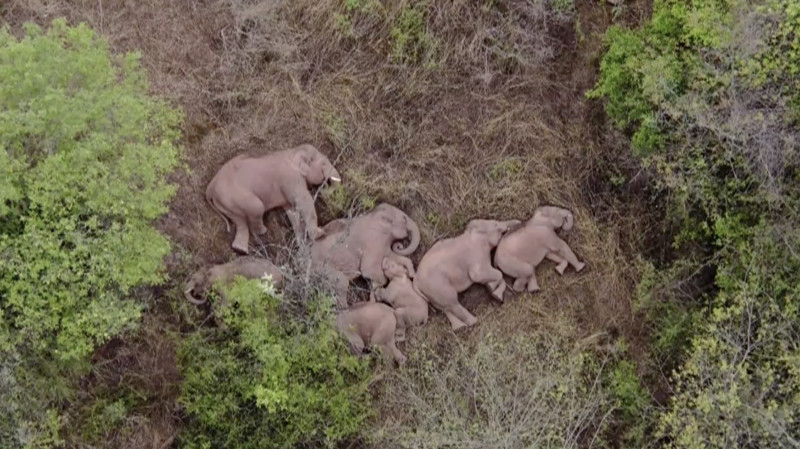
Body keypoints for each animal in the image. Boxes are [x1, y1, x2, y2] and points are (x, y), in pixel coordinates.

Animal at [206, 144, 341, 254]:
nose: (323, 189)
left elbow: (292, 211)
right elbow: (303, 201)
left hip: (226, 204)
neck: (293, 152)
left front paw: (302, 245)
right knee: (256, 207)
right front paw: (319, 234)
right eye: (323, 164)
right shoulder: (291, 178)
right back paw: (262, 232)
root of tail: (210, 187)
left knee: (240, 222)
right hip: (234, 197)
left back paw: (240, 250)